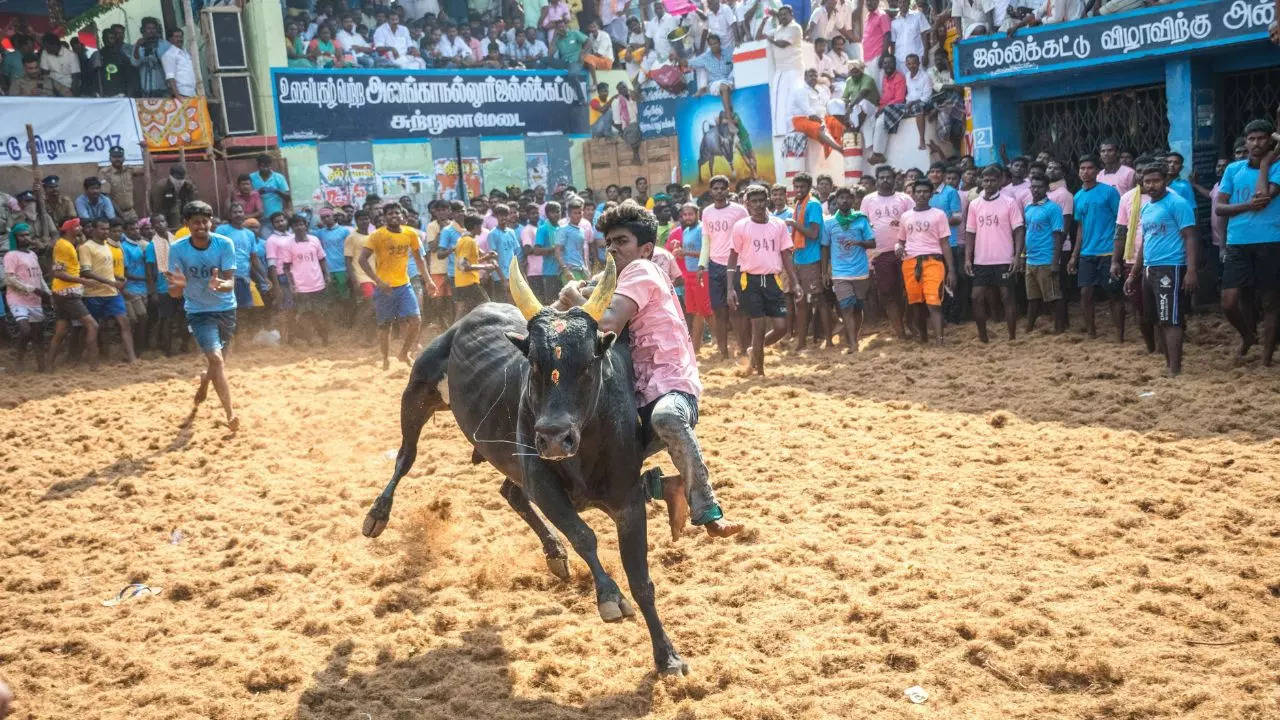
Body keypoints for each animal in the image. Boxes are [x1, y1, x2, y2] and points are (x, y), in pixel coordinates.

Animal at [366, 260, 691, 676]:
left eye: (588, 364)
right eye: (535, 363)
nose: (553, 437)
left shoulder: (628, 501)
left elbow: (642, 581)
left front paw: (667, 655)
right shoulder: (543, 484)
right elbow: (584, 536)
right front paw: (608, 596)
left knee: (510, 492)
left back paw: (553, 552)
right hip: (417, 392)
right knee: (406, 457)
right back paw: (377, 514)